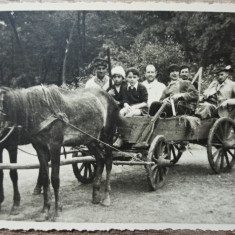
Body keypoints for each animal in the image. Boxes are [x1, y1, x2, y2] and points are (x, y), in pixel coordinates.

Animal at [0, 85, 117, 221]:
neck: (40, 111)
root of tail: (109, 97)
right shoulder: (40, 148)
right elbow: (45, 178)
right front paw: (45, 211)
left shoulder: (54, 146)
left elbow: (55, 178)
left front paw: (57, 211)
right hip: (90, 139)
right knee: (100, 159)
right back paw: (95, 195)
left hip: (107, 136)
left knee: (108, 162)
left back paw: (106, 197)